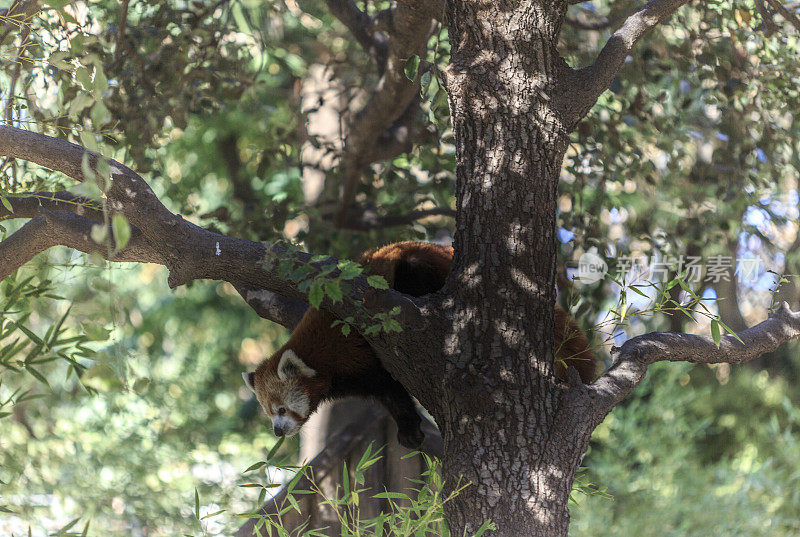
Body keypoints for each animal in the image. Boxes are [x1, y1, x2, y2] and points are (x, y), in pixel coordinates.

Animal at [241, 240, 596, 448]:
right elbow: (390, 394)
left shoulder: (358, 351)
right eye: (268, 412)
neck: (322, 359)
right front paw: (409, 429)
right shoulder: (366, 375)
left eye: (281, 409)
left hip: (418, 268)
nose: (277, 431)